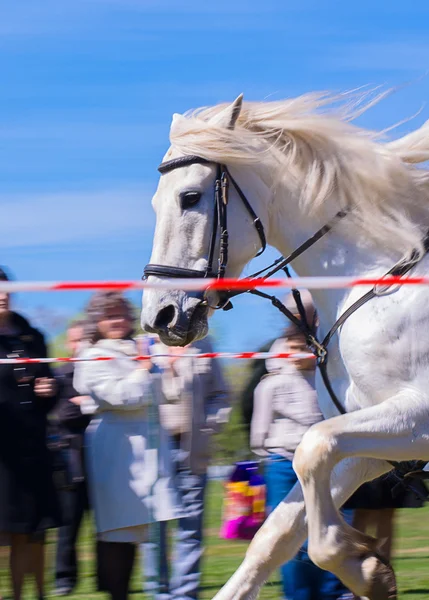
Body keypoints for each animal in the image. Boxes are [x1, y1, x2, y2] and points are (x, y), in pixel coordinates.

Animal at [142, 90, 428, 600]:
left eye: (189, 198)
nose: (160, 317)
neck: (375, 282)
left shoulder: (416, 418)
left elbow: (310, 448)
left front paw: (364, 566)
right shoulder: (371, 446)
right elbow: (275, 535)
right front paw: (366, 567)